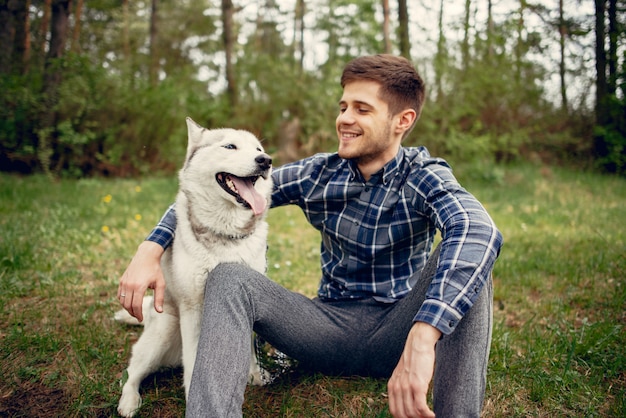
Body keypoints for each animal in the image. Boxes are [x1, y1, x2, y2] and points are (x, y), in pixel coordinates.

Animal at [116, 116, 272, 418]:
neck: (226, 235)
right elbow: (194, 358)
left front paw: (254, 374)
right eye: (230, 146)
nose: (266, 161)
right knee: (131, 373)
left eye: (258, 149)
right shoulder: (192, 308)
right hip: (164, 333)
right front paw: (192, 393)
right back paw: (128, 402)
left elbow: (248, 347)